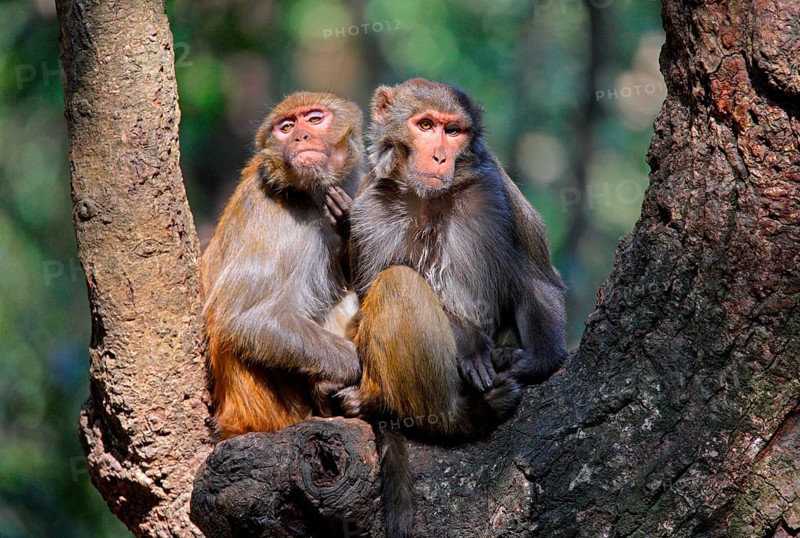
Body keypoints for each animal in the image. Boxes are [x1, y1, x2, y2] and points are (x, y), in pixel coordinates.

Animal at [200, 91, 364, 440]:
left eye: (315, 119)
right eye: (286, 127)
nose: (301, 137)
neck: (308, 195)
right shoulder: (286, 223)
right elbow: (245, 320)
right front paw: (356, 365)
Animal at [341, 78, 567, 537]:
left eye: (453, 130)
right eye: (425, 125)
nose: (440, 156)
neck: (427, 198)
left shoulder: (495, 191)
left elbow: (535, 279)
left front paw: (537, 358)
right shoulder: (369, 210)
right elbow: (367, 301)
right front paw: (470, 343)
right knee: (397, 284)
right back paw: (453, 416)